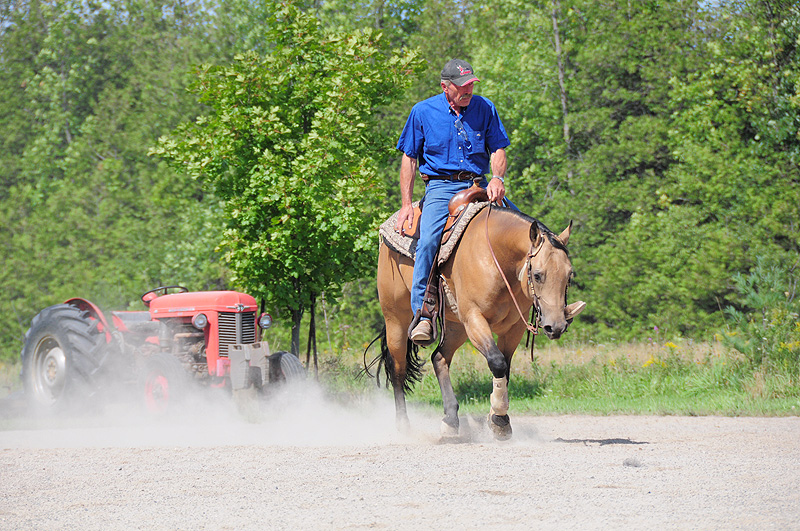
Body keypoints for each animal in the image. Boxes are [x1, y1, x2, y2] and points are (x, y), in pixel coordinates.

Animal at [372, 200, 584, 440]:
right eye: (538, 275)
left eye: (569, 276)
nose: (555, 326)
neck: (497, 260)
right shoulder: (474, 318)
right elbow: (497, 362)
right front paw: (499, 419)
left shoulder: (513, 328)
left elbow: (505, 368)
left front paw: (496, 419)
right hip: (396, 318)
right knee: (397, 368)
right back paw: (403, 426)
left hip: (456, 328)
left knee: (439, 358)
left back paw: (450, 420)